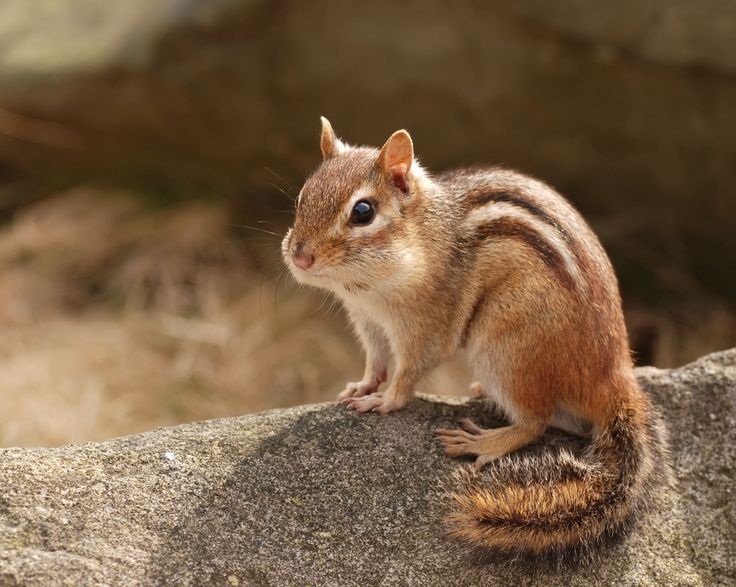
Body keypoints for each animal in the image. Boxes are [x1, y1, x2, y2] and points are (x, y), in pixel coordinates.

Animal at [282, 117, 669, 563]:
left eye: (363, 212)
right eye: (302, 196)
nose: (300, 256)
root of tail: (614, 373)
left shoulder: (427, 325)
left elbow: (408, 372)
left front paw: (384, 401)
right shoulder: (368, 321)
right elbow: (375, 360)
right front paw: (362, 386)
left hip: (504, 347)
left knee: (535, 422)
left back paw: (482, 441)